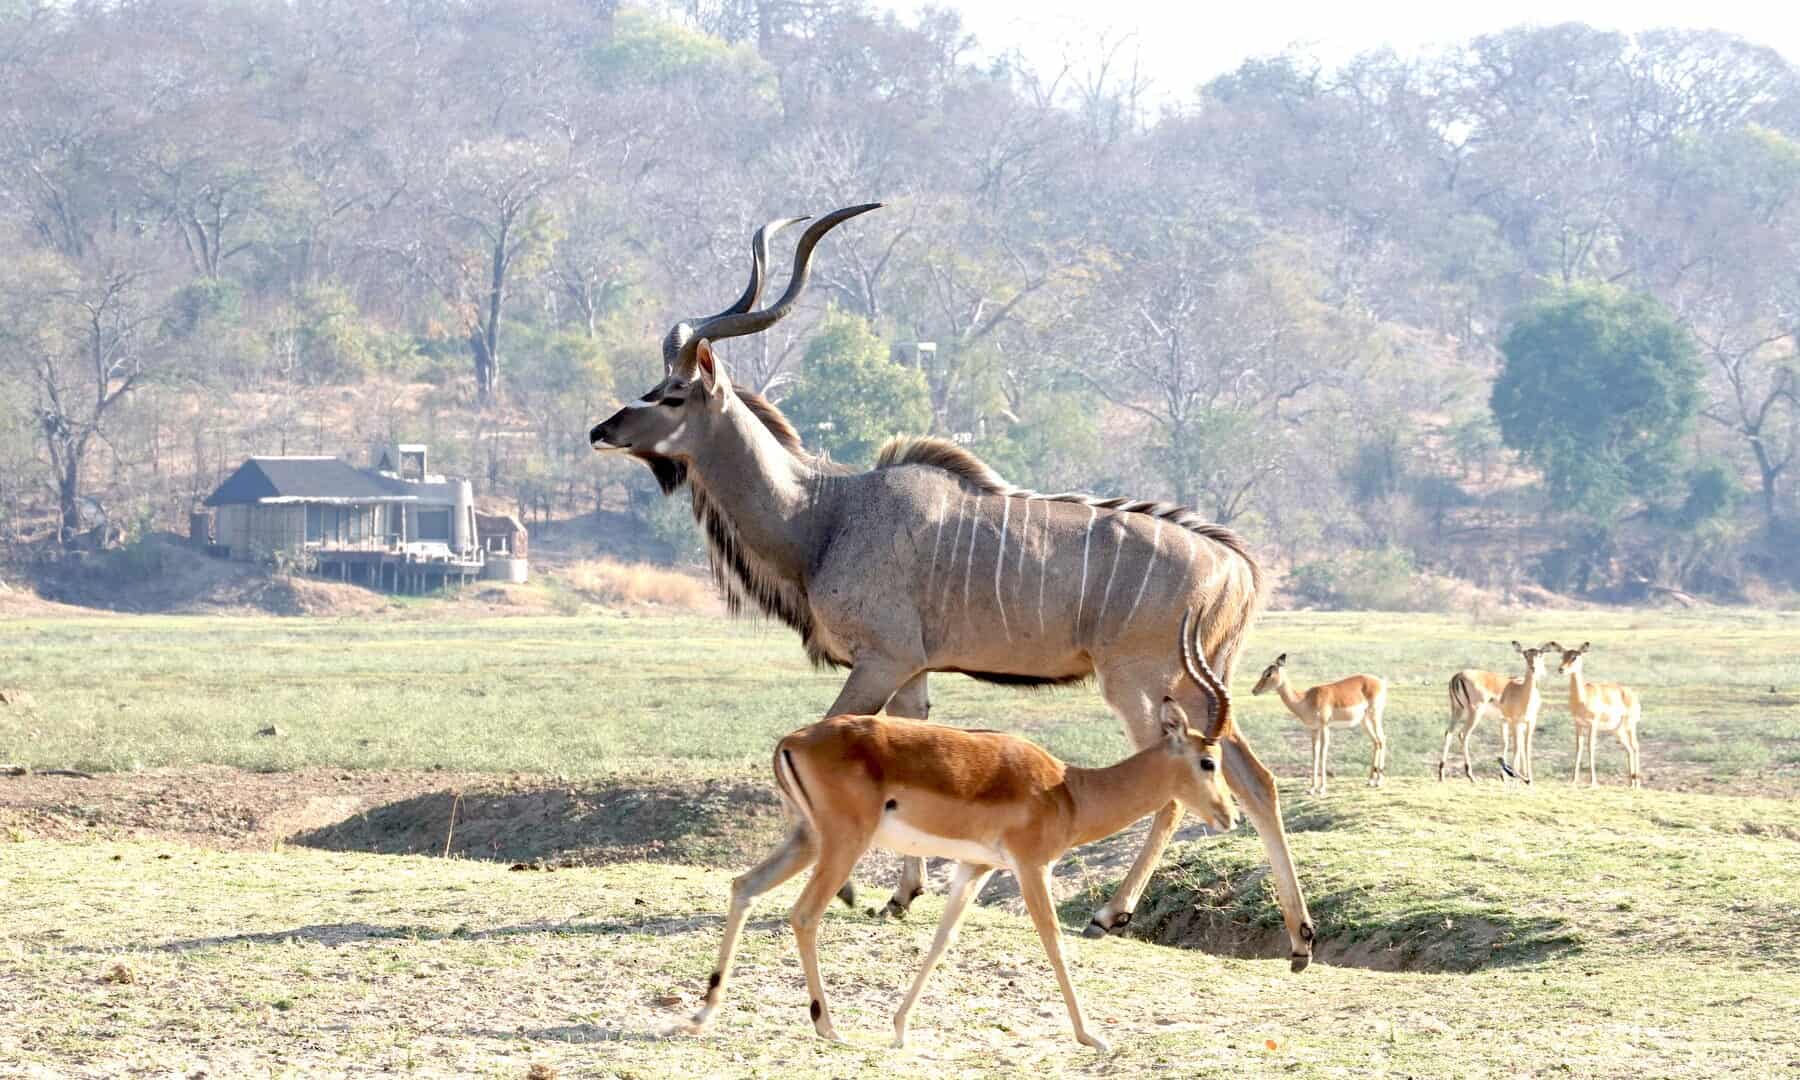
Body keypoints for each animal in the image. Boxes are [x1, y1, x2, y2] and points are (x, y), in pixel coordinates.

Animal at [590, 206, 1316, 971]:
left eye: (671, 393)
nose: (600, 430)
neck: (825, 513)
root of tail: (1237, 563)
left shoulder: (879, 661)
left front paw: (856, 888)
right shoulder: (912, 670)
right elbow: (906, 743)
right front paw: (901, 894)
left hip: (1140, 683)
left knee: (1176, 787)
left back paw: (1111, 914)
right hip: (1200, 685)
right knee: (1256, 779)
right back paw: (1299, 937)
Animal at [685, 613, 1236, 1052]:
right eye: (1208, 761)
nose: (1228, 815)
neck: (1071, 789)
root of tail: (792, 741)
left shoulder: (976, 867)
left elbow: (942, 938)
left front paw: (900, 1028)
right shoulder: (1032, 867)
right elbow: (1054, 940)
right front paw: (1093, 1036)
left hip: (807, 839)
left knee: (744, 887)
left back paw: (702, 1013)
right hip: (843, 844)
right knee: (803, 914)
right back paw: (828, 1026)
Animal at [1251, 654, 1388, 794]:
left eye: (1268, 674)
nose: (1254, 690)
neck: (1305, 699)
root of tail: (1380, 682)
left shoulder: (1324, 727)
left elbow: (1322, 754)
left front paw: (1321, 789)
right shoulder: (1313, 729)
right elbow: (1314, 755)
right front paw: (1311, 789)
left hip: (1374, 716)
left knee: (1382, 739)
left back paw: (1378, 781)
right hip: (1364, 721)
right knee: (1376, 742)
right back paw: (1370, 781)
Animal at [1548, 641, 1643, 788]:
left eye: (1575, 657)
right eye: (1562, 656)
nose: (1561, 669)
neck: (1582, 698)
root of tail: (1632, 694)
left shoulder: (1593, 724)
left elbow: (1590, 748)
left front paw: (1593, 782)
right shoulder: (1578, 724)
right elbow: (1578, 749)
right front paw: (1573, 780)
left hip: (1630, 726)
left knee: (1635, 746)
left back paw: (1637, 783)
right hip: (1617, 731)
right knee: (1629, 749)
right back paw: (1630, 783)